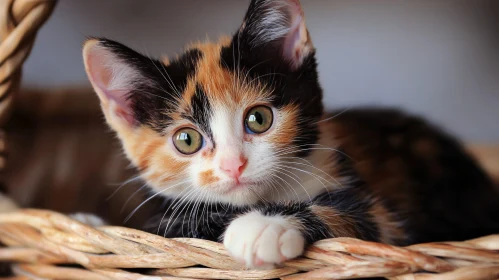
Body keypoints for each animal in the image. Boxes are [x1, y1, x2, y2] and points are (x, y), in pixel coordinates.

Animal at [83, 0, 499, 268]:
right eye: (187, 140)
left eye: (259, 119)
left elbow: (355, 216)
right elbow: (178, 227)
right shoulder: (164, 219)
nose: (233, 165)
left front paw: (264, 225)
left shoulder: (384, 217)